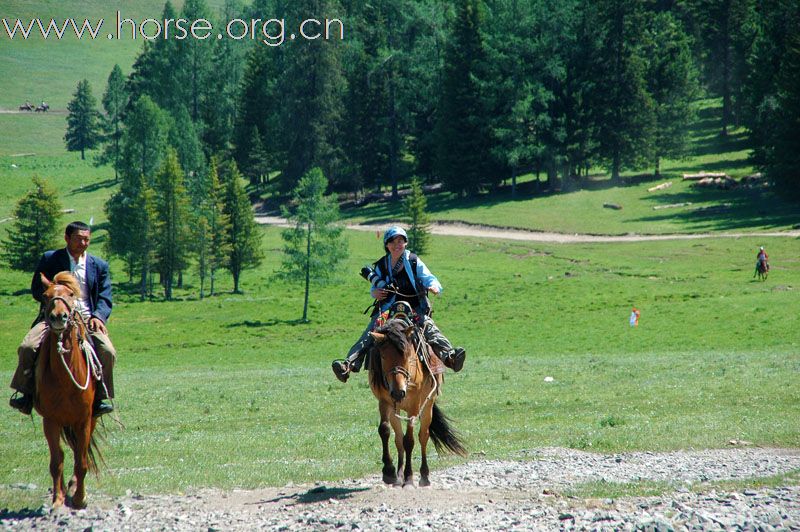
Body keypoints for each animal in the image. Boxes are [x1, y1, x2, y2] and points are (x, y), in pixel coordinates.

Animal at [35, 272, 103, 510]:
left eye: (71, 294)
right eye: (45, 296)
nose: (59, 317)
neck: (65, 378)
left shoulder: (84, 419)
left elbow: (81, 461)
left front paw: (80, 498)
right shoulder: (50, 420)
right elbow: (56, 461)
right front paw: (58, 499)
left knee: (79, 452)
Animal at [366, 318, 466, 488]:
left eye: (408, 356)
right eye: (383, 356)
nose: (398, 392)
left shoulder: (414, 405)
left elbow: (409, 440)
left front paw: (409, 478)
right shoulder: (384, 402)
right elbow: (385, 430)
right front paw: (389, 472)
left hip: (427, 406)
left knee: (423, 436)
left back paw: (424, 476)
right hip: (396, 410)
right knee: (398, 438)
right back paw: (398, 476)